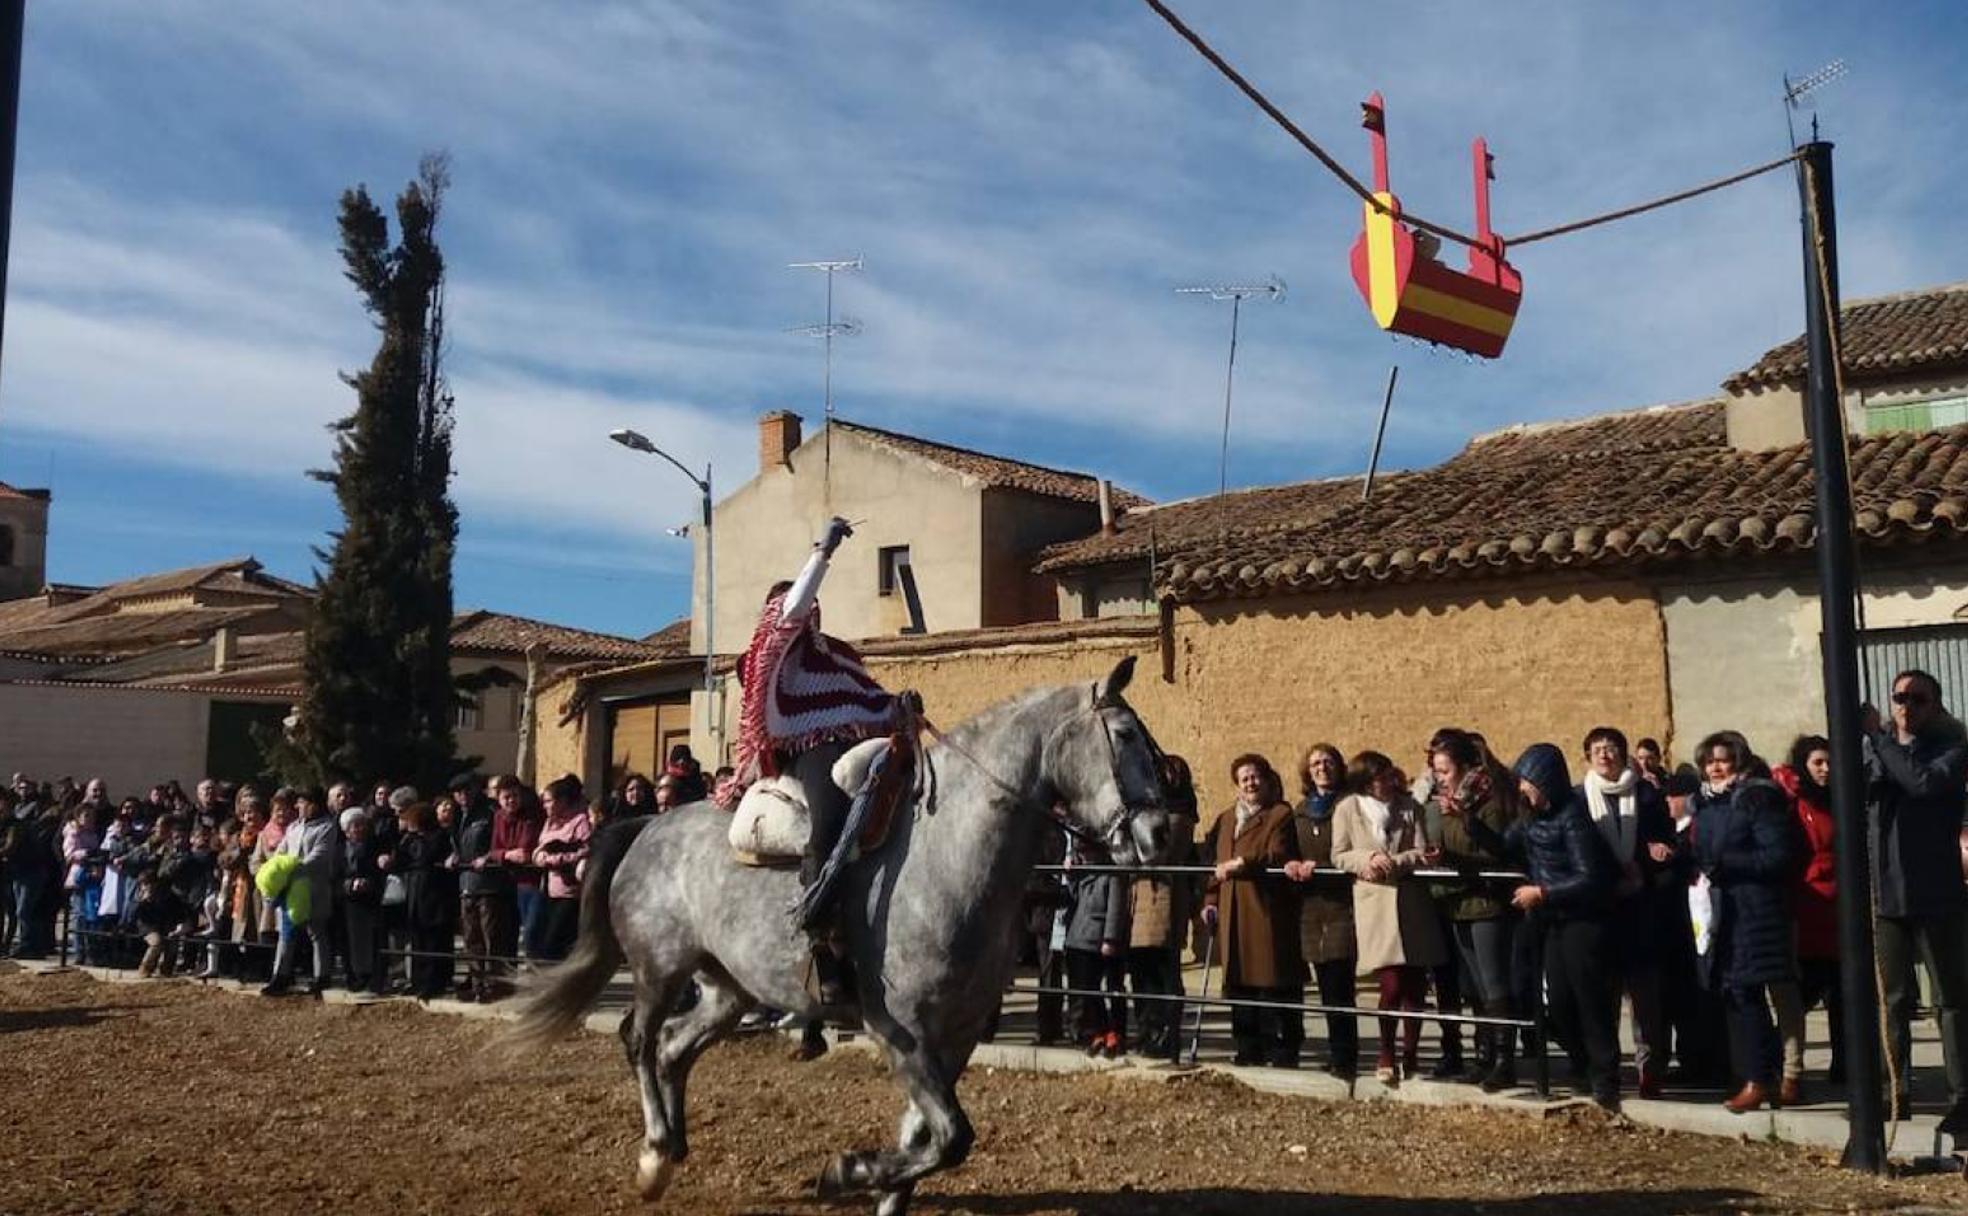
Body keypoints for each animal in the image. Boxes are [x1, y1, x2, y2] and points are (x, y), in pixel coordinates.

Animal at [515, 657, 1172, 1204]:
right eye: (1126, 735)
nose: (1161, 832)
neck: (947, 853)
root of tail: (646, 826)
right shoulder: (902, 1033)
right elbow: (949, 1137)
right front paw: (846, 1171)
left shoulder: (954, 1038)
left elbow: (926, 1143)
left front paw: (871, 1183)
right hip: (659, 968)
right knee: (640, 1039)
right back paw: (653, 1156)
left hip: (729, 988)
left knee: (675, 1048)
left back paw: (673, 1148)